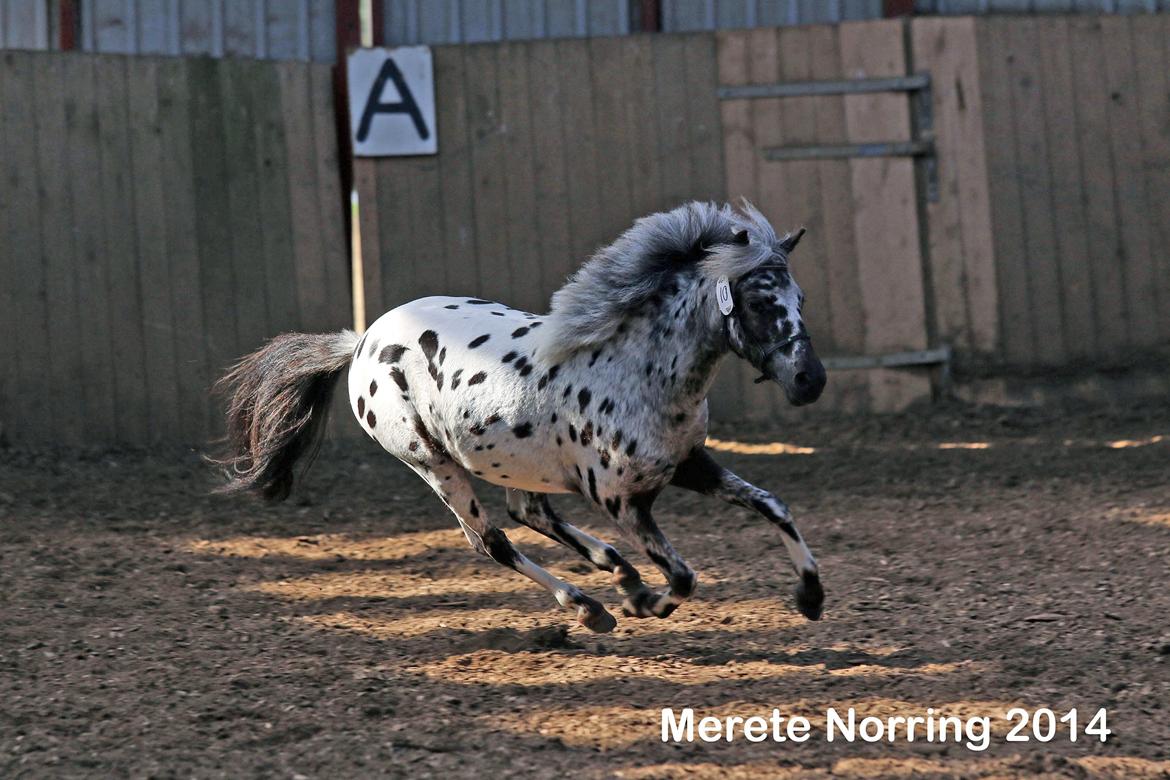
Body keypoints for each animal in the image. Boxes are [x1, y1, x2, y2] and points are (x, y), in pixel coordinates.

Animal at [215, 201, 828, 636]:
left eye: (800, 298)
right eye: (758, 303)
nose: (810, 380)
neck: (637, 372)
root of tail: (361, 339)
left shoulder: (687, 464)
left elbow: (773, 505)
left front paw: (810, 597)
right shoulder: (620, 502)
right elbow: (682, 576)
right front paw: (646, 604)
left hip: (513, 459)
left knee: (527, 511)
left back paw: (617, 572)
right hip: (434, 464)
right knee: (492, 540)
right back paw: (589, 605)